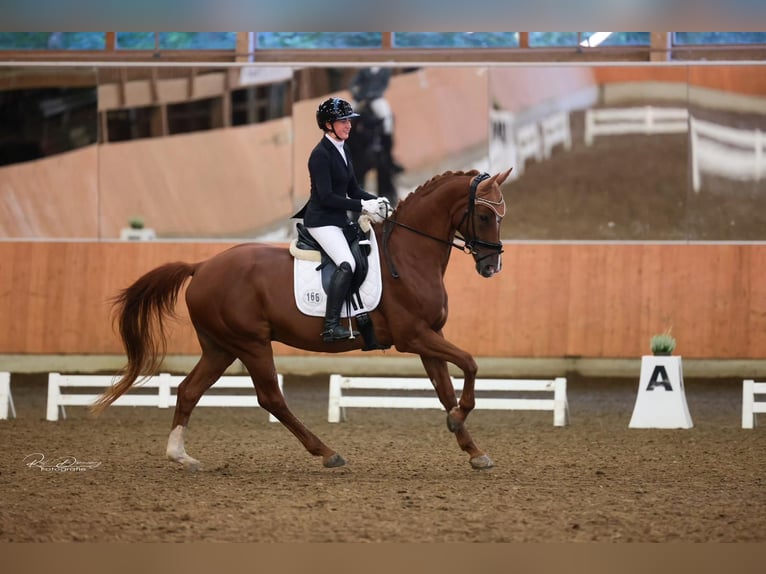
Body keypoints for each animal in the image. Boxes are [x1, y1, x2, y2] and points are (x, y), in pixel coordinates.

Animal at [91, 168, 513, 471]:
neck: (409, 256)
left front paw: (472, 448)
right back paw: (327, 452)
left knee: (188, 390)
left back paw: (181, 456)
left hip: (220, 347)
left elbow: (446, 390)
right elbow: (471, 364)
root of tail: (202, 266)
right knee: (271, 398)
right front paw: (459, 422)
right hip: (251, 344)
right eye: (483, 215)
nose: (492, 266)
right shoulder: (415, 336)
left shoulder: (430, 337)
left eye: (500, 216)